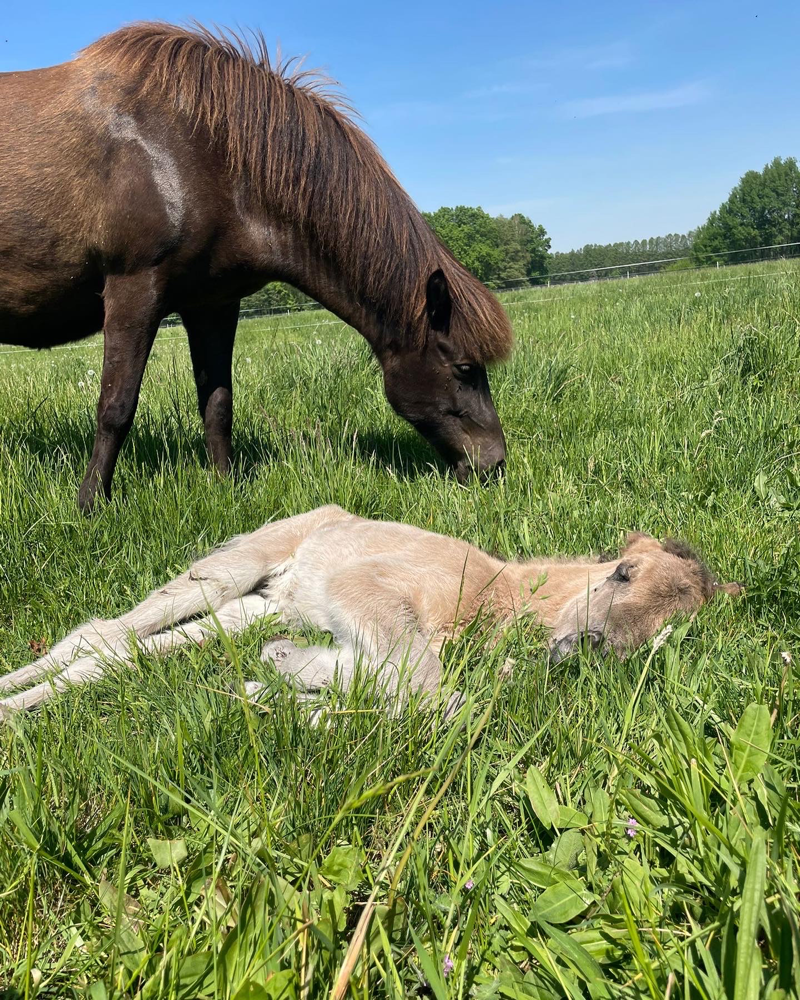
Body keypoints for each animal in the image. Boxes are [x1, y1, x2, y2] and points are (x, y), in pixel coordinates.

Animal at [0, 27, 512, 512]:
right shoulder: (133, 290)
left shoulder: (214, 305)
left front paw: (226, 488)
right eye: (465, 368)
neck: (199, 149)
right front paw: (91, 505)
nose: (495, 464)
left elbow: (217, 404)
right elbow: (115, 407)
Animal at [0, 508, 744, 720]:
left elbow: (372, 673)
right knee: (106, 632)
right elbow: (435, 690)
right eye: (622, 572)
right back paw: (13, 702)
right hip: (231, 571)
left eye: (662, 633)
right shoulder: (370, 586)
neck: (501, 597)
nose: (582, 649)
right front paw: (294, 697)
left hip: (252, 608)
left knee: (117, 653)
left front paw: (278, 683)